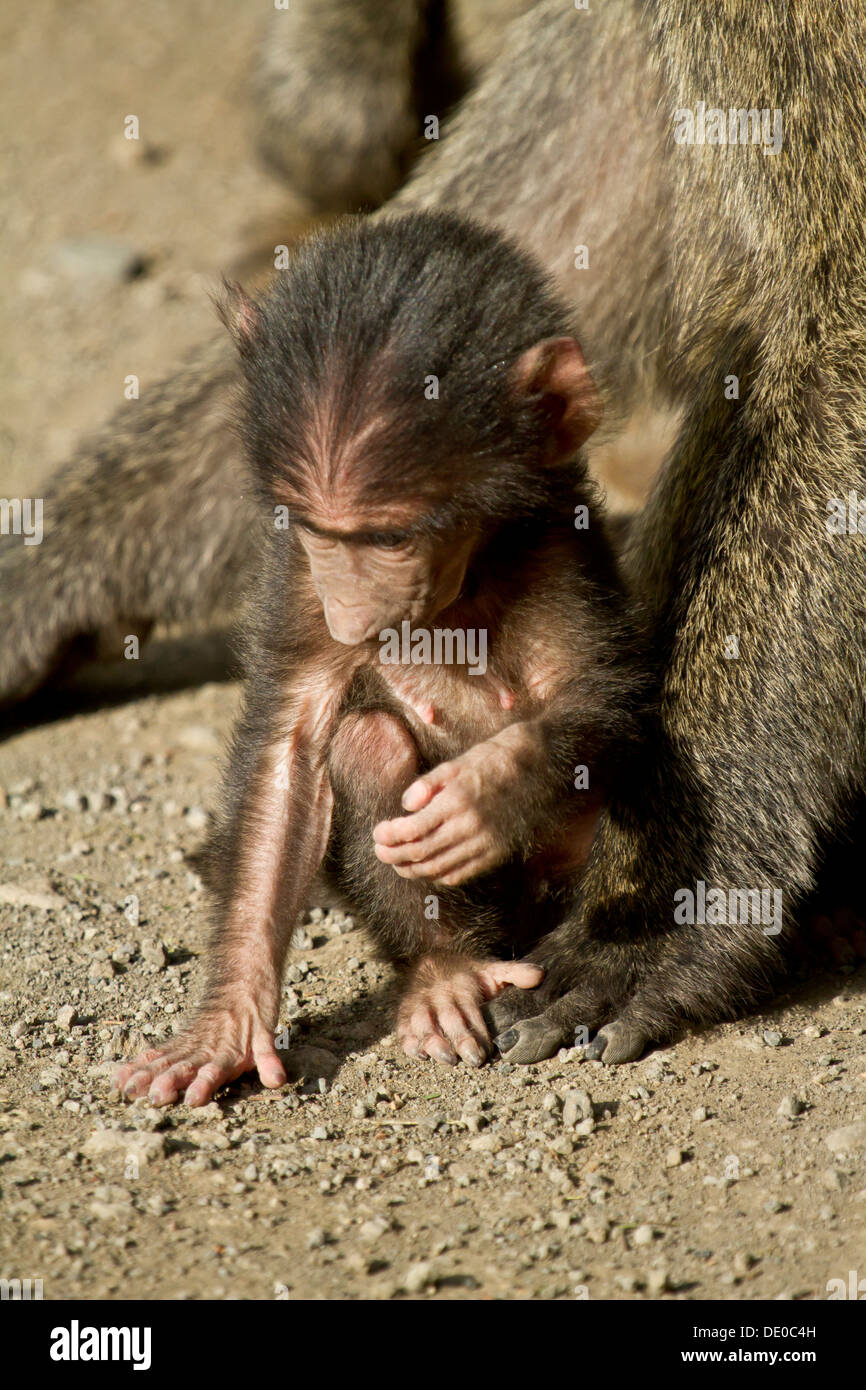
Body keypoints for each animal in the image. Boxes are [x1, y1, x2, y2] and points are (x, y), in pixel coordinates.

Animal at [114, 210, 648, 1103]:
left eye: (392, 538)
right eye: (320, 531)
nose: (355, 615)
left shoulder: (557, 547)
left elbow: (603, 697)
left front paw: (487, 792)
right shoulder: (299, 580)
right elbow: (290, 751)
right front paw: (226, 1023)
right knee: (364, 741)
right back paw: (443, 973)